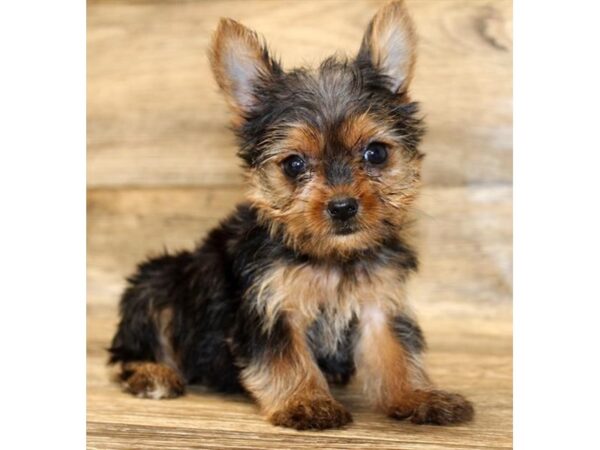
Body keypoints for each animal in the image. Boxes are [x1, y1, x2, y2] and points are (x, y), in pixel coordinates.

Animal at [108, 0, 474, 428]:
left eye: (376, 153)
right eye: (294, 164)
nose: (343, 206)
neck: (330, 258)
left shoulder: (379, 300)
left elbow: (395, 349)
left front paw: (419, 395)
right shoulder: (270, 304)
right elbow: (285, 357)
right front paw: (306, 401)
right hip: (157, 283)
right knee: (135, 343)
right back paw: (154, 373)